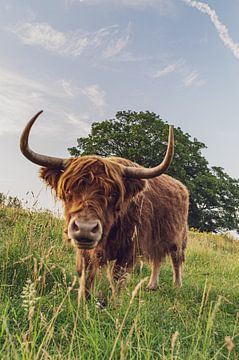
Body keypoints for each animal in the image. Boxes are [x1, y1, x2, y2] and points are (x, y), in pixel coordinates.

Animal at [20, 111, 189, 294]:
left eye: (113, 194)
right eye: (69, 191)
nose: (85, 228)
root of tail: (182, 187)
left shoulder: (129, 249)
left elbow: (117, 278)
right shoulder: (87, 250)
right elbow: (86, 275)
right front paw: (84, 299)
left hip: (178, 237)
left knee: (176, 259)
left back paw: (177, 285)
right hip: (156, 238)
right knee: (157, 258)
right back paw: (152, 285)